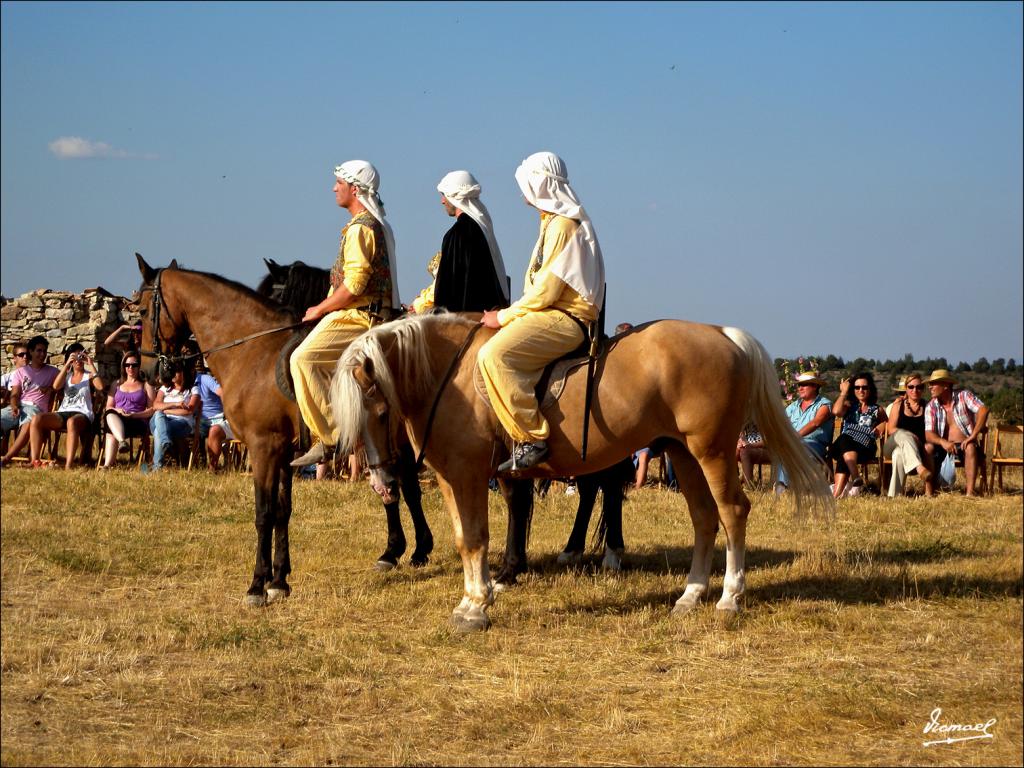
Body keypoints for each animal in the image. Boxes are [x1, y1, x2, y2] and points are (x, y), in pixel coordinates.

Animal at [331, 311, 835, 630]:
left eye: (379, 410)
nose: (383, 482)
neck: (451, 376)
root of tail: (722, 333)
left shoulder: (470, 474)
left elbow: (475, 539)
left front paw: (477, 608)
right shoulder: (452, 478)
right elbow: (462, 540)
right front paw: (472, 599)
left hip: (711, 451)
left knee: (732, 512)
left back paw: (730, 597)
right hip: (682, 454)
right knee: (704, 519)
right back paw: (691, 595)